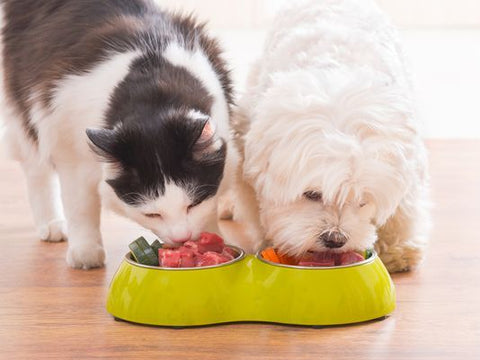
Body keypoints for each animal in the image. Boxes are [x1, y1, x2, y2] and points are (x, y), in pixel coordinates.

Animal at [0, 0, 232, 268]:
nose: (182, 237)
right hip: (27, 112)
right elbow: (80, 206)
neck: (152, 93)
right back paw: (52, 225)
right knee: (36, 169)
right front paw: (86, 253)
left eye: (193, 204)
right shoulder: (70, 149)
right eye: (152, 214)